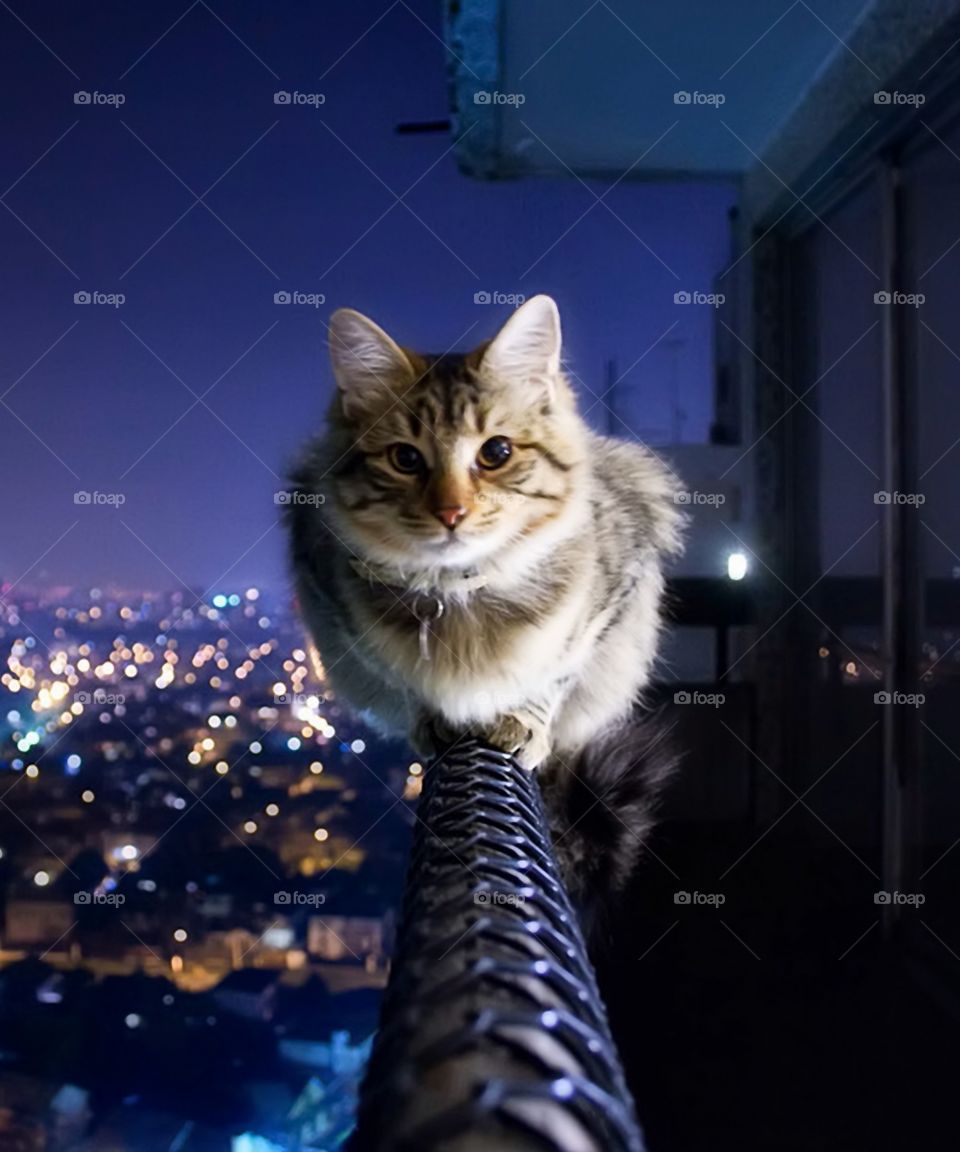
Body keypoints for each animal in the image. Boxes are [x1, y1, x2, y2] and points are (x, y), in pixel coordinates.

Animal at [284, 297, 682, 935]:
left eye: (495, 453)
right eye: (405, 459)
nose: (452, 513)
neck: (458, 592)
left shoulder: (610, 604)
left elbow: (554, 675)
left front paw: (524, 721)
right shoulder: (337, 616)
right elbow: (410, 683)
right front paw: (434, 719)